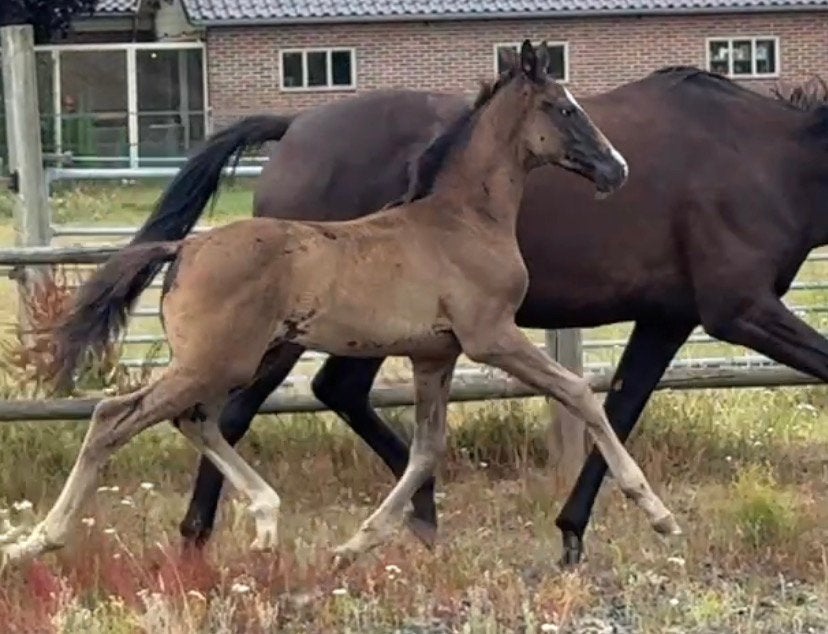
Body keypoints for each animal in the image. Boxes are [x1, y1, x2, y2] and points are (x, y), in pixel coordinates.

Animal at [77, 56, 828, 565]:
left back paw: (417, 515)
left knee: (324, 395)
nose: (615, 172)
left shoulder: (668, 319)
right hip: (289, 333)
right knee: (235, 410)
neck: (766, 159)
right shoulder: (739, 310)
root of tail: (295, 126)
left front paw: (573, 533)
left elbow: (617, 408)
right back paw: (205, 535)